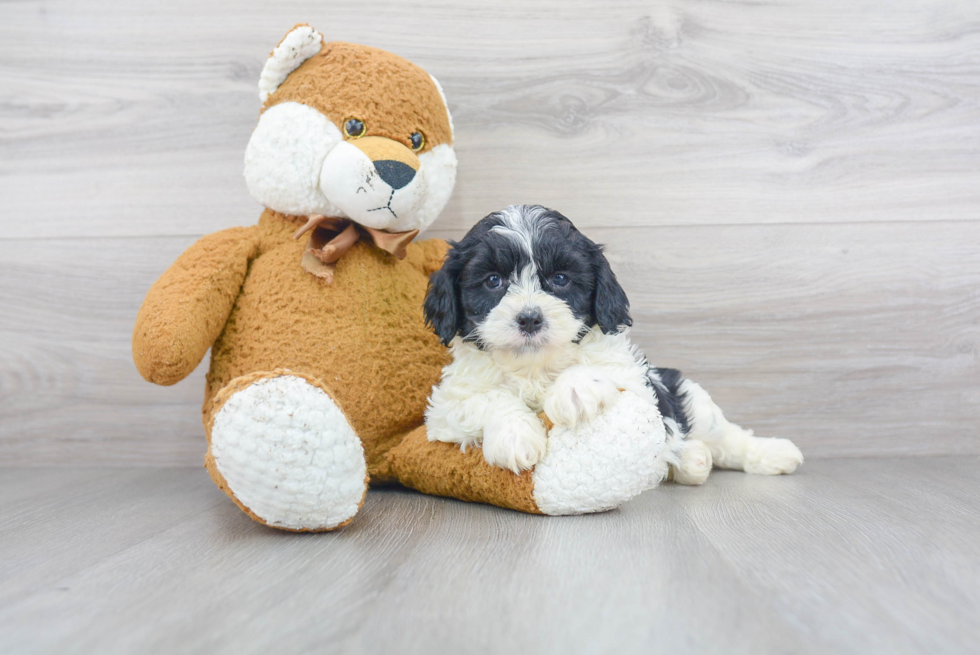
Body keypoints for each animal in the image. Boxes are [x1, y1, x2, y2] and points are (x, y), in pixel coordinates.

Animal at [424, 205, 804, 482]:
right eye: (493, 281)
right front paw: (515, 437)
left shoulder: (639, 388)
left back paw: (773, 454)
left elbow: (598, 371)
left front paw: (575, 390)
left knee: (728, 436)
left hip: (691, 400)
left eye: (560, 279)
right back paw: (692, 460)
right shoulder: (443, 411)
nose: (530, 318)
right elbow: (487, 399)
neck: (535, 367)